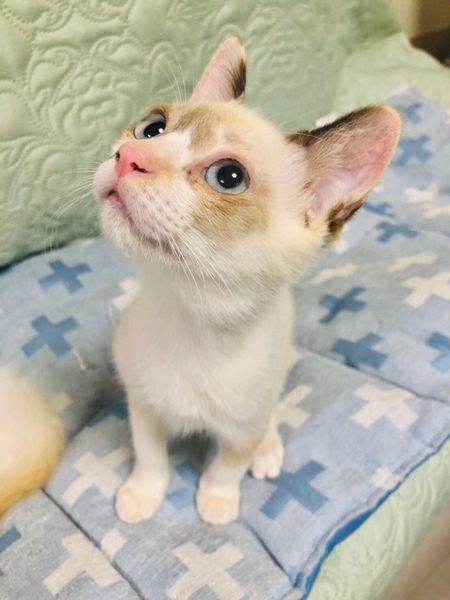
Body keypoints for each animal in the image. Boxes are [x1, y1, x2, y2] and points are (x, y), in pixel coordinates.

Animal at [92, 36, 401, 525]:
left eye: (229, 177)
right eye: (152, 129)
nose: (131, 158)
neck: (192, 324)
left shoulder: (243, 425)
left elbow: (228, 464)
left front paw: (217, 503)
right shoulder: (142, 405)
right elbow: (149, 454)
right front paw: (144, 493)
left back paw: (269, 451)